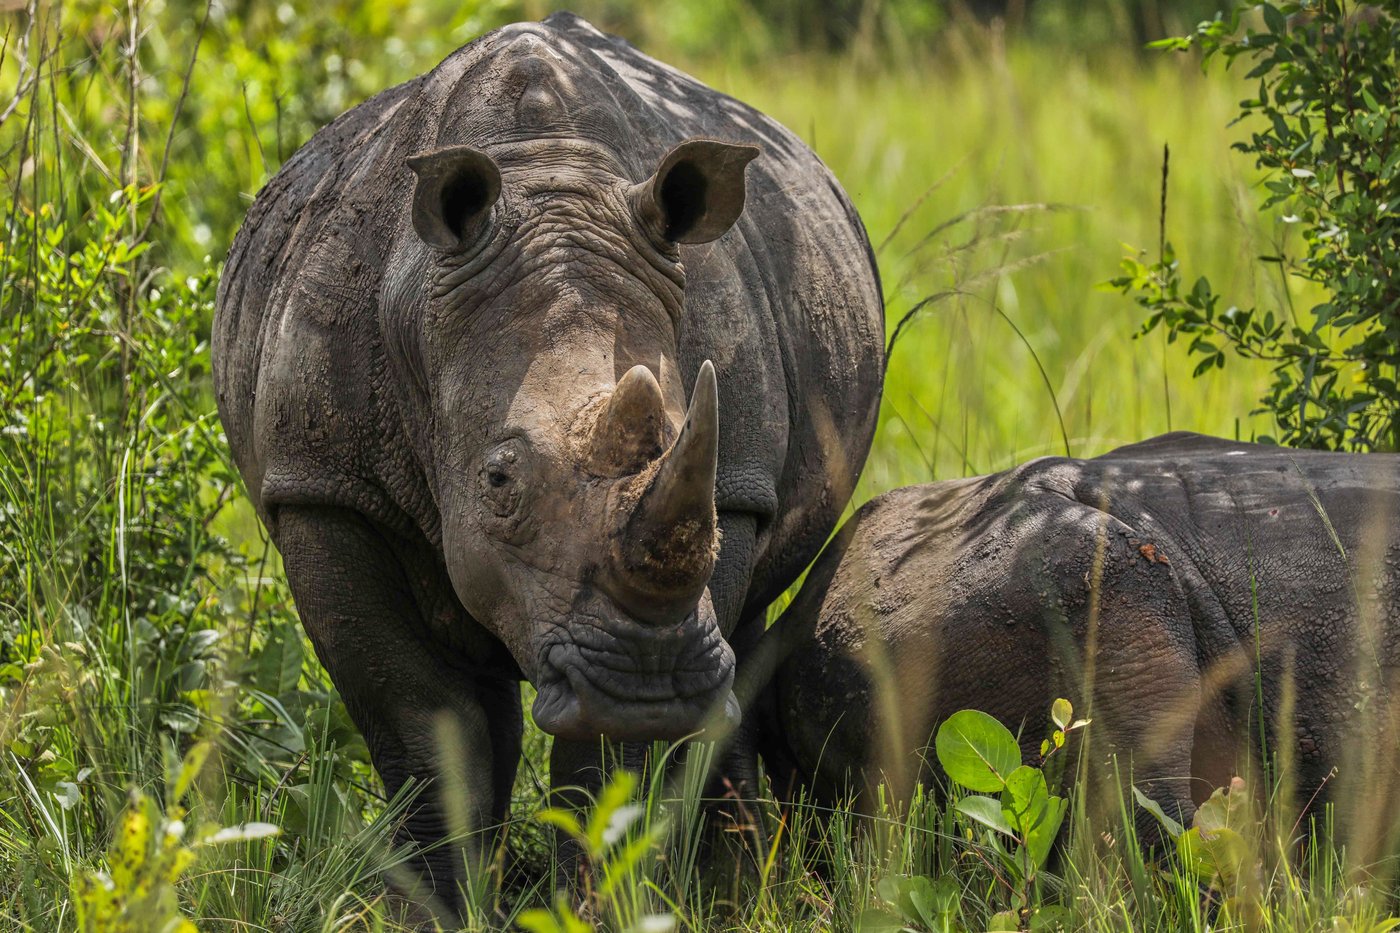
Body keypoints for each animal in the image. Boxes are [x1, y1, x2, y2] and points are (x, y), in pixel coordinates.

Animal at [212, 12, 883, 898]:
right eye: (497, 480)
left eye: (685, 443)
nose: (649, 679)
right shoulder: (324, 486)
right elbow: (421, 719)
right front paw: (438, 906)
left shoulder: (732, 484)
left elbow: (604, 761)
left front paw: (583, 901)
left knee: (737, 644)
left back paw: (728, 890)